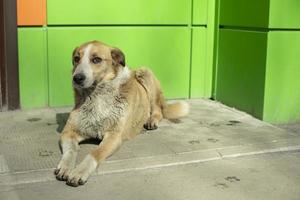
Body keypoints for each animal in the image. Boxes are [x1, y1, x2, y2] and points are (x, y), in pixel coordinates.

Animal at [54, 41, 189, 187]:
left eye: (96, 59)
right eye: (77, 59)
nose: (77, 78)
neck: (97, 95)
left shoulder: (114, 136)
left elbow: (94, 153)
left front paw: (80, 171)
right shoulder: (69, 132)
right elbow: (71, 150)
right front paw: (65, 167)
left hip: (144, 72)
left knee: (158, 110)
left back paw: (151, 120)